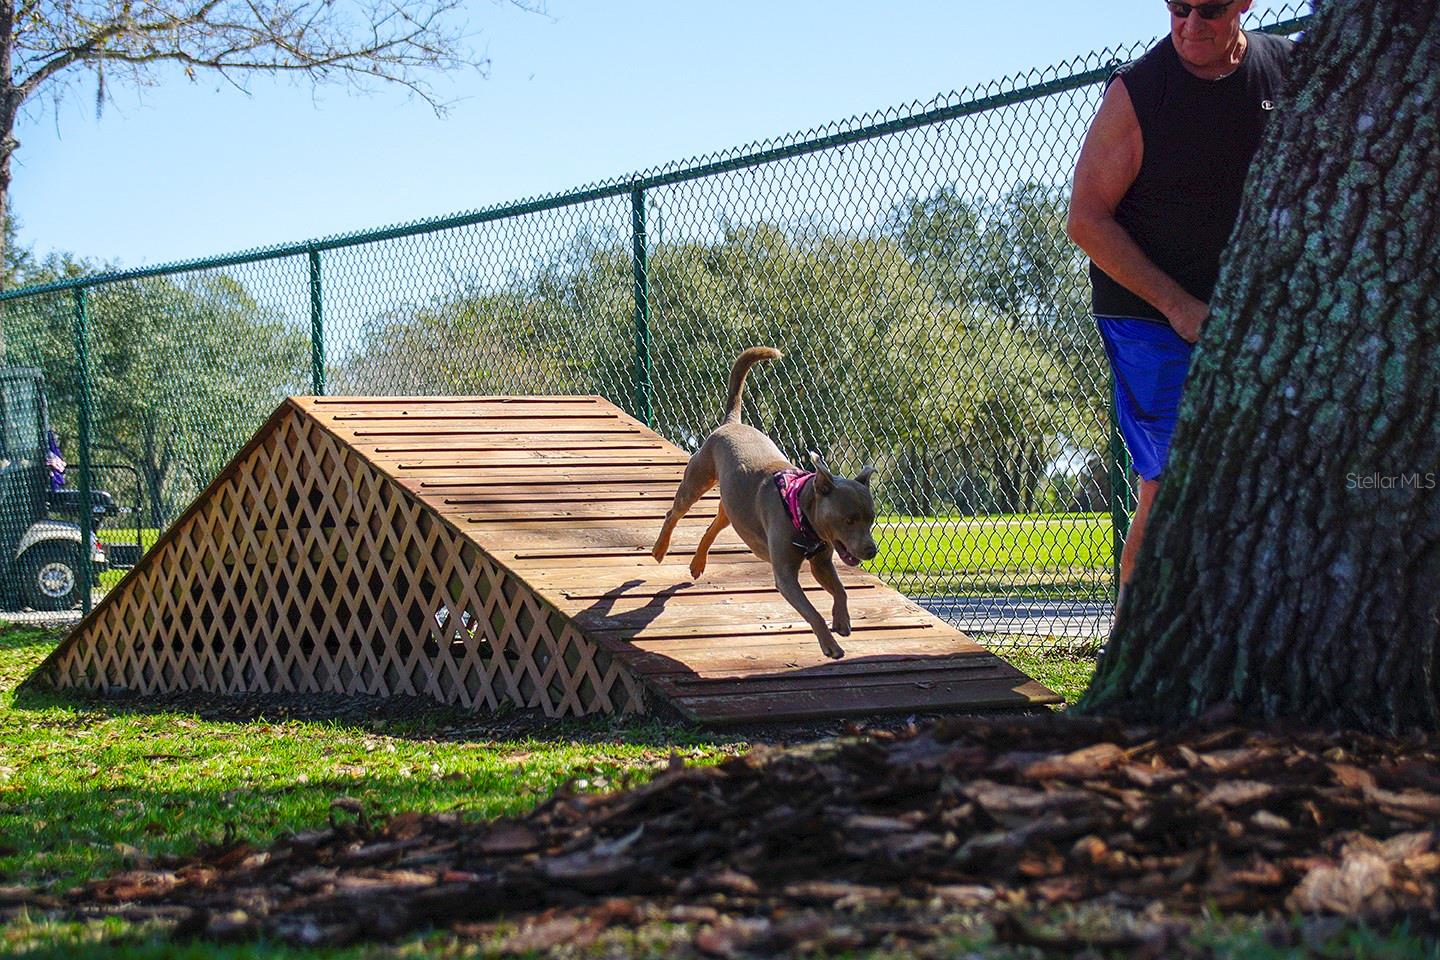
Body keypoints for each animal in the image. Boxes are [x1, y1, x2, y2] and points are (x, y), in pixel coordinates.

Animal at [653, 346, 875, 662]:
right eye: (848, 520)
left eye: (872, 519)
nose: (871, 550)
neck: (800, 508)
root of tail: (731, 423)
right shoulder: (785, 575)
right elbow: (811, 611)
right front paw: (830, 645)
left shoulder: (821, 562)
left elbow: (841, 590)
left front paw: (842, 621)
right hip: (696, 482)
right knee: (673, 512)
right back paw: (660, 549)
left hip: (733, 508)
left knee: (712, 527)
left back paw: (697, 564)